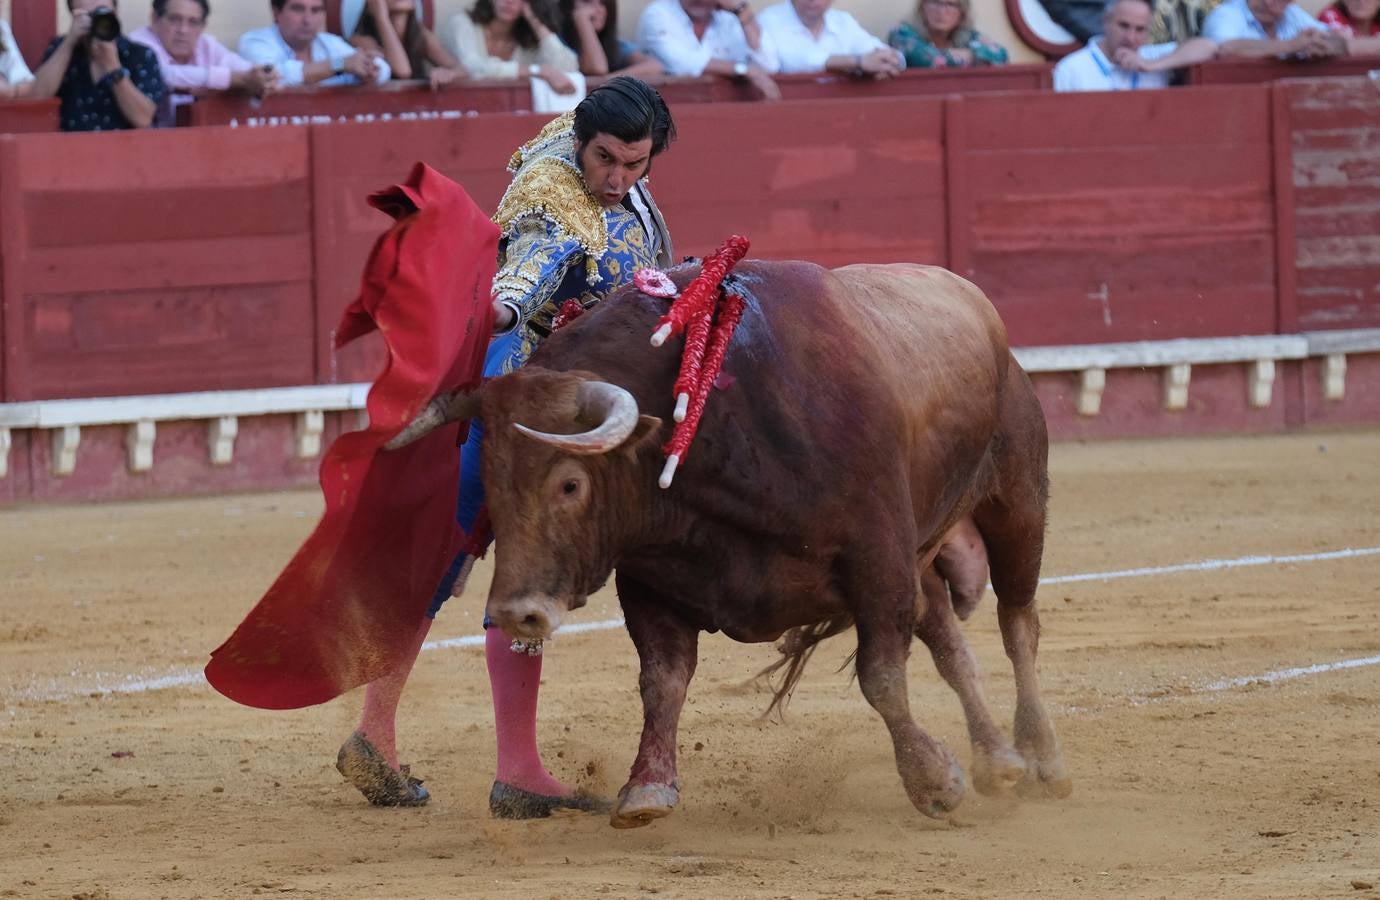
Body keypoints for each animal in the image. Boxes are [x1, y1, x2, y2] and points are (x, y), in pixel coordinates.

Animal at [394, 256, 1070, 828]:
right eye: (490, 487)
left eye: (570, 483)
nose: (516, 612)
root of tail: (976, 303)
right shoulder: (649, 577)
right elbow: (662, 680)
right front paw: (647, 787)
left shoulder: (877, 557)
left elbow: (881, 676)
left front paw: (933, 780)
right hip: (924, 547)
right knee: (948, 637)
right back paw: (998, 760)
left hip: (1016, 500)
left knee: (1018, 622)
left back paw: (1042, 757)